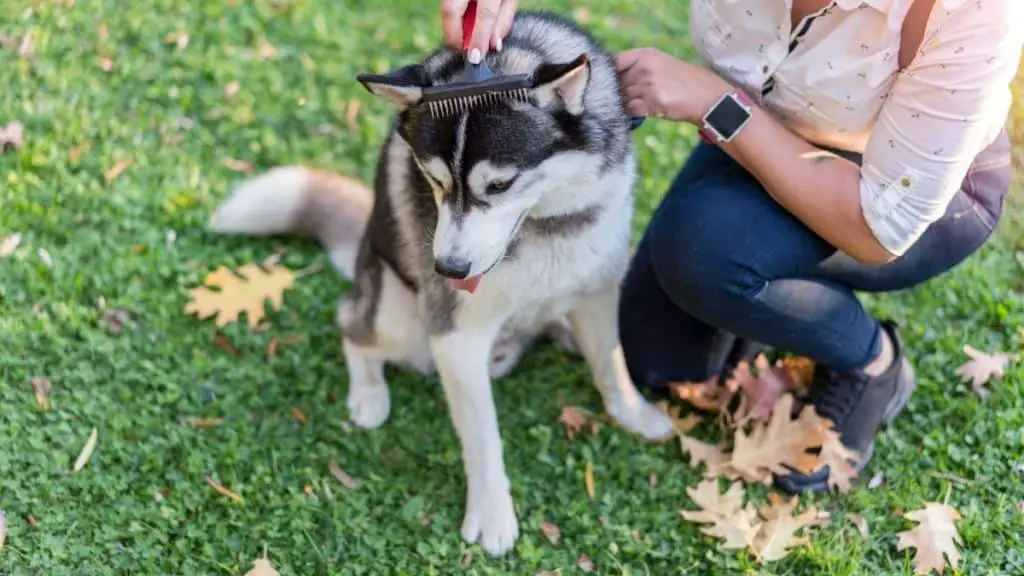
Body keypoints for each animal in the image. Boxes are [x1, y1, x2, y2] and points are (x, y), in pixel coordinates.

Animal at [206, 11, 671, 553]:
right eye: (434, 181)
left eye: (500, 185)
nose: (448, 269)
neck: (544, 227)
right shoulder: (454, 334)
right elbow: (483, 436)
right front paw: (491, 513)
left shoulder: (598, 288)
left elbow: (612, 363)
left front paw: (635, 415)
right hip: (396, 316)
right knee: (351, 325)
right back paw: (369, 394)